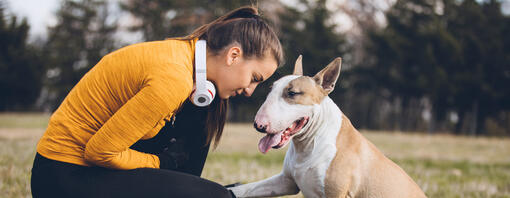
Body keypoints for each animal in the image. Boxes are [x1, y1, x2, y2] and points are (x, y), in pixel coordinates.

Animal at [228, 56, 426, 198]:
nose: (258, 125)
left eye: (292, 93)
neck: (308, 144)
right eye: (270, 89)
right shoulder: (286, 181)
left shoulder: (335, 194)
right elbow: (244, 189)